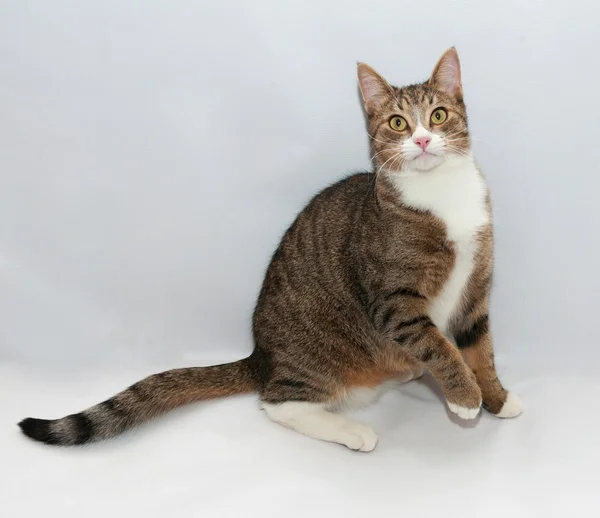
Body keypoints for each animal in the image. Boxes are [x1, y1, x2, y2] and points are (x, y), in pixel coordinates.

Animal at [19, 49, 520, 456]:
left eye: (438, 115)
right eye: (398, 123)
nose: (421, 140)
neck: (441, 196)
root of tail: (261, 355)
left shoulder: (476, 288)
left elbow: (480, 347)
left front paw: (496, 397)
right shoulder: (395, 300)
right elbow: (438, 345)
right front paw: (465, 396)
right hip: (320, 352)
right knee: (278, 403)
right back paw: (350, 429)